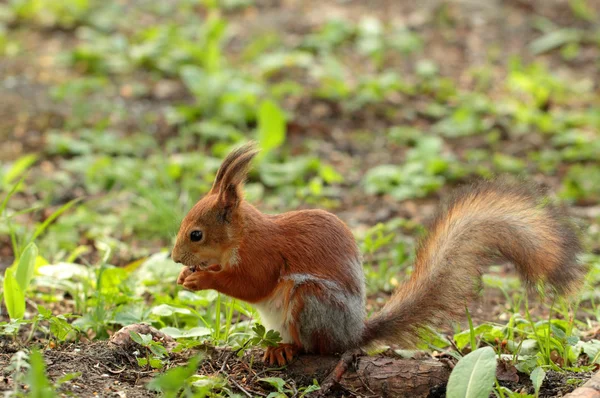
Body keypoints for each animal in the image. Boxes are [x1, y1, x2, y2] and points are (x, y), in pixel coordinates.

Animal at [170, 142, 584, 366]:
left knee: (314, 346)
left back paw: (287, 349)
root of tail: (353, 334)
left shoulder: (265, 255)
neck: (242, 236)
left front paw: (201, 278)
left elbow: (251, 285)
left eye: (196, 234)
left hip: (312, 301)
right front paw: (185, 276)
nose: (175, 258)